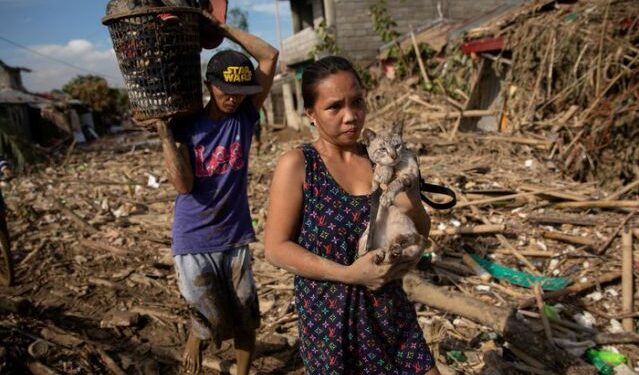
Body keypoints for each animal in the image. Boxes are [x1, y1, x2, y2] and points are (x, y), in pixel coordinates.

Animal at [360, 123, 430, 264]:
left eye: (397, 146)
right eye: (382, 149)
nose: (394, 156)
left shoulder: (410, 174)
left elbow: (395, 184)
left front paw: (386, 197)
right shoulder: (374, 183)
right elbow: (381, 167)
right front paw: (385, 172)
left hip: (416, 244)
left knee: (401, 250)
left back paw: (396, 247)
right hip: (366, 235)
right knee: (364, 252)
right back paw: (380, 254)